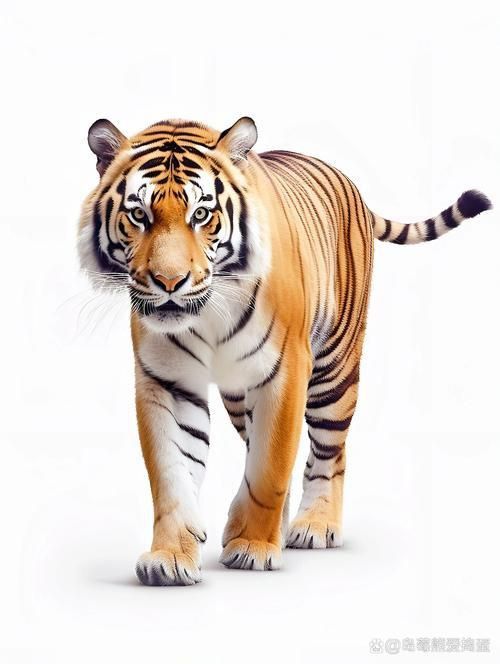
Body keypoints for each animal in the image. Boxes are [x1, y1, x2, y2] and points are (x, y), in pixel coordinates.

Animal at [78, 116, 492, 586]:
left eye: (201, 214)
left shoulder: (285, 371)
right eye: (138, 215)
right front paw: (170, 557)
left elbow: (270, 467)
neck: (208, 312)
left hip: (334, 371)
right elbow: (172, 474)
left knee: (330, 452)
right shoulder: (167, 381)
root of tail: (348, 182)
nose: (169, 282)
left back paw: (315, 525)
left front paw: (254, 547)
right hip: (238, 394)